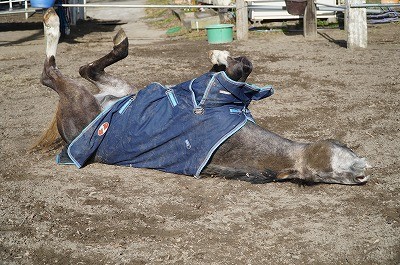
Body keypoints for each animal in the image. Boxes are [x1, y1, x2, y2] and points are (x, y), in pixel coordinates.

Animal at [38, 8, 372, 184]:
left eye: (335, 176)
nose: (362, 174)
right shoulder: (211, 86)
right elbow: (240, 66)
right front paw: (220, 54)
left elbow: (242, 66)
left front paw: (221, 54)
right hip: (118, 91)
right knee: (75, 70)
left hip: (89, 96)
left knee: (57, 73)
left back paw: (54, 23)